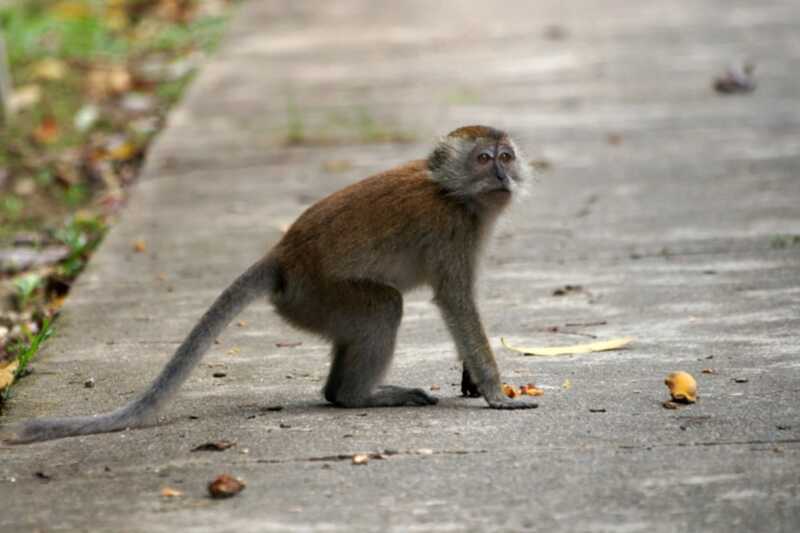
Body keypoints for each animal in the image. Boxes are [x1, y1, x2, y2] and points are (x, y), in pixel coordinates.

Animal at [3, 124, 536, 444]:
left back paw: (339, 393)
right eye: (484, 157)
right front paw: (495, 392)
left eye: (506, 155)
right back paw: (358, 397)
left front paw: (473, 380)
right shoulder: (453, 230)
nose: (503, 173)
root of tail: (283, 254)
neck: (452, 193)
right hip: (317, 295)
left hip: (312, 304)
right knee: (385, 306)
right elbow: (455, 301)